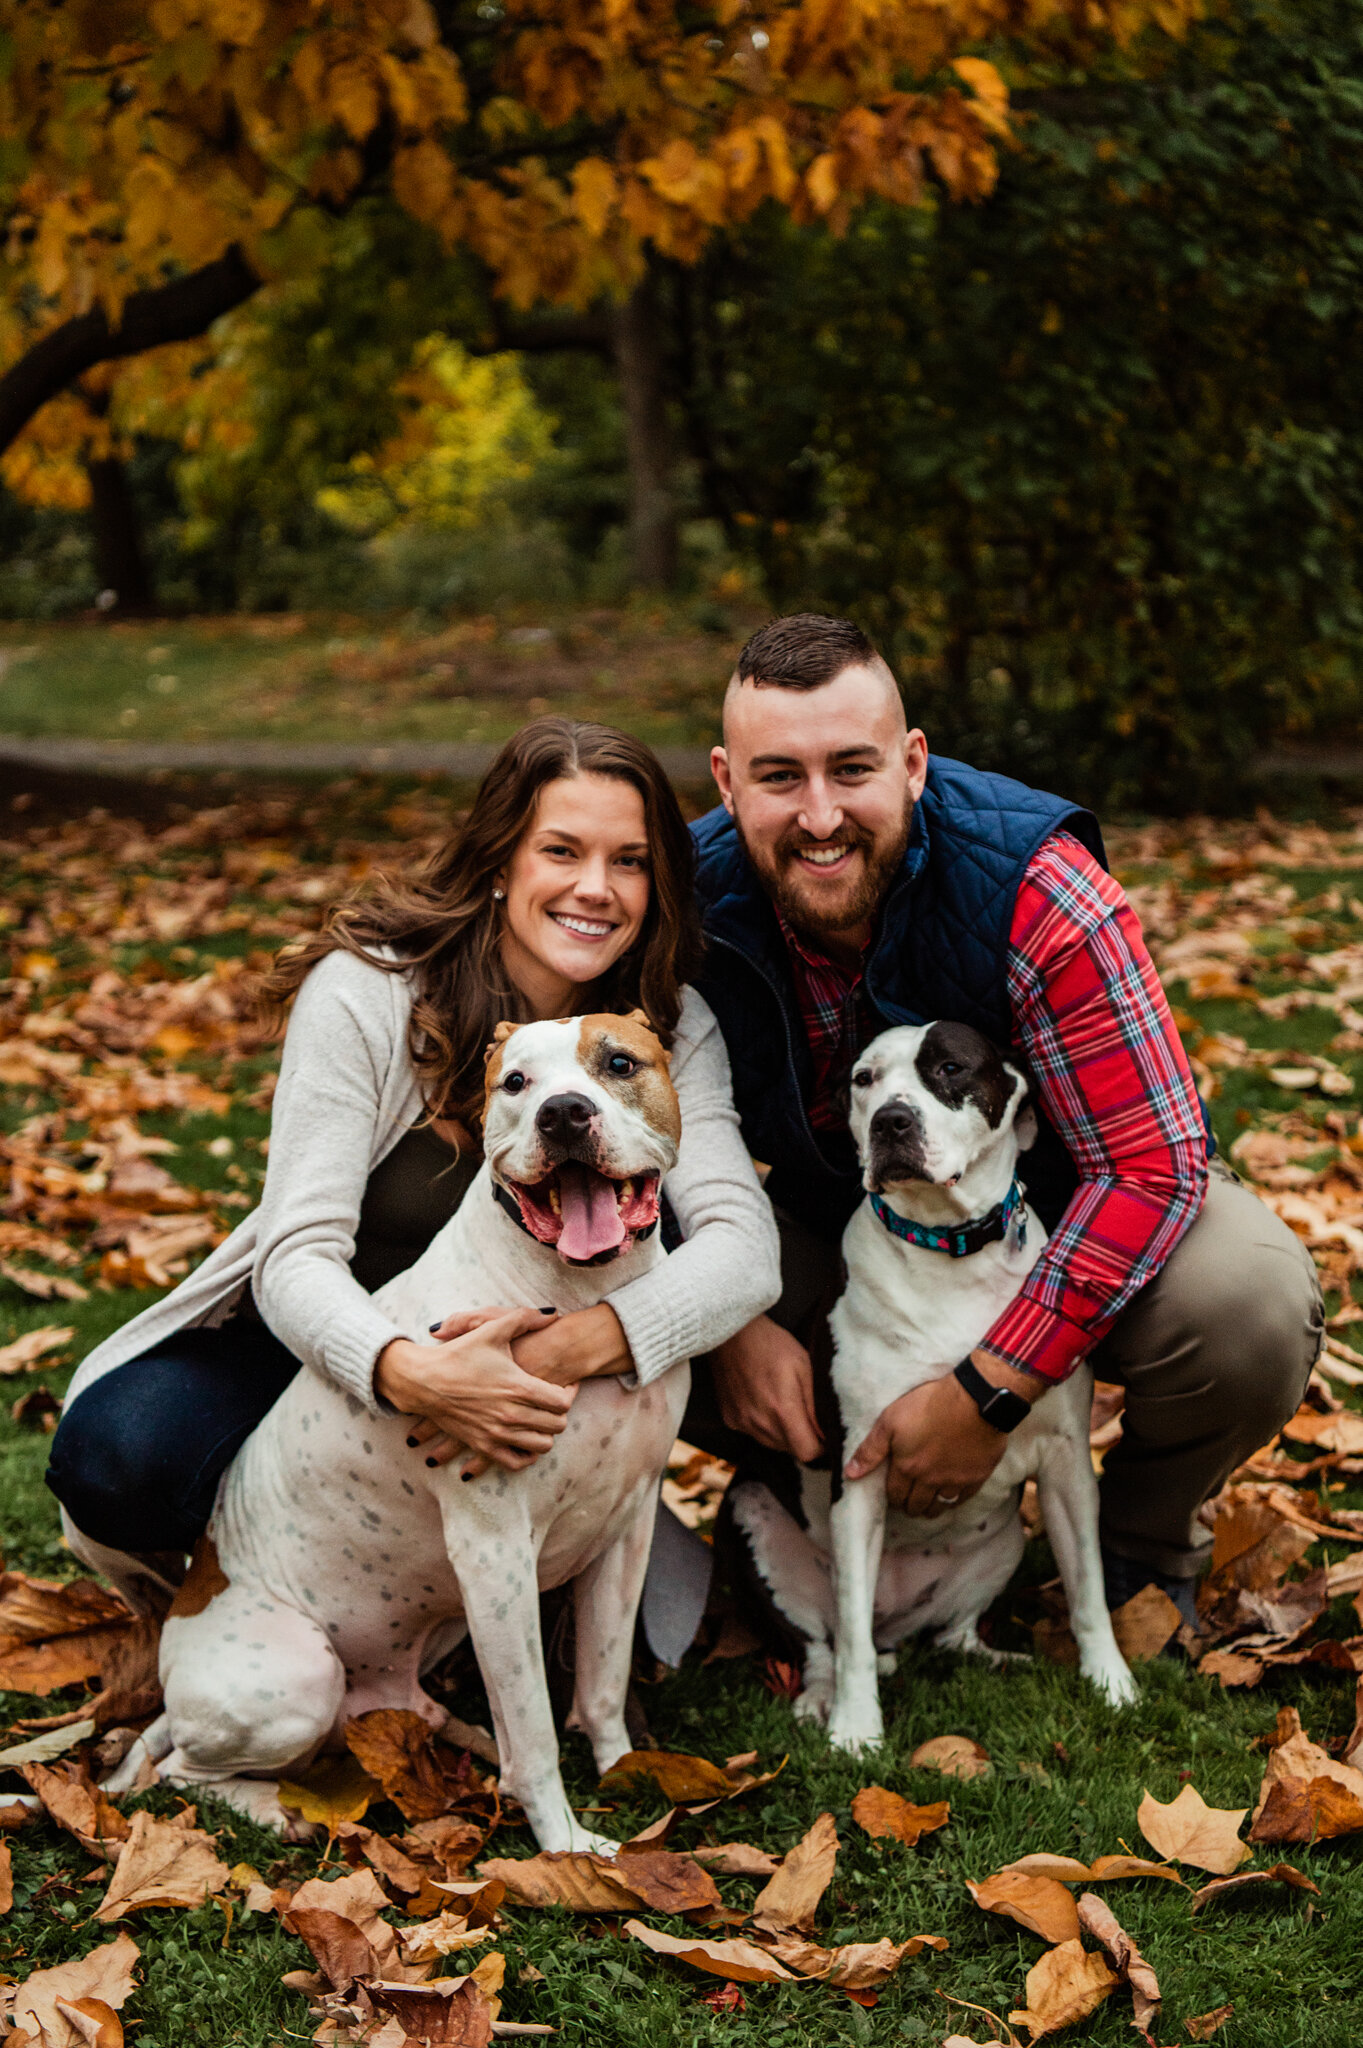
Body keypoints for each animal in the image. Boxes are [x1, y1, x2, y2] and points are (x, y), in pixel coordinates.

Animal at [110, 1011, 691, 1859]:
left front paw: (623, 1769)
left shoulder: (626, 1526)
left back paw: (463, 1741)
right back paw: (273, 1808)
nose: (562, 1114)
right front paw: (566, 1847)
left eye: (619, 1063)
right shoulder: (494, 1553)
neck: (582, 1292)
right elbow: (535, 1732)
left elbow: (603, 1679)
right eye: (516, 1082)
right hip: (300, 1676)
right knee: (181, 1773)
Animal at [728, 1015, 1129, 1753]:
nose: (891, 1120)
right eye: (864, 1079)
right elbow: (850, 1638)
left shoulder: (1066, 1462)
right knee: (828, 1642)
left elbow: (1087, 1585)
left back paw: (992, 1656)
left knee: (951, 1633)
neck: (950, 1248)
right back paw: (820, 1698)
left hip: (1002, 1544)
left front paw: (1112, 1683)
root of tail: (900, 1624)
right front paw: (856, 1730)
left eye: (949, 1068)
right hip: (754, 1521)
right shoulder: (858, 1478)